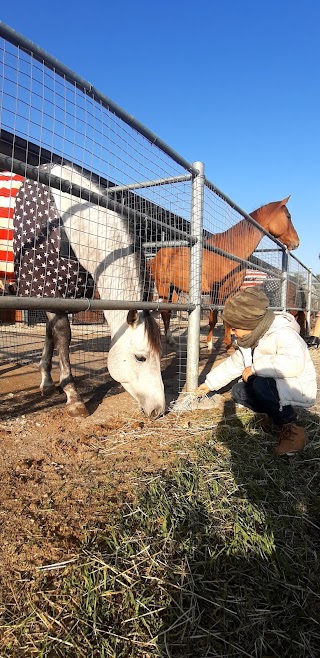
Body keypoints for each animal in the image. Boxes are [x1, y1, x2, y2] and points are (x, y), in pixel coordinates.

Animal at [13, 167, 165, 418]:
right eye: (140, 357)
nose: (158, 410)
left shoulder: (54, 295)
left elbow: (49, 334)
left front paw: (47, 384)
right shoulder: (48, 289)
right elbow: (62, 336)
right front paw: (73, 397)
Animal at [149, 195, 298, 348]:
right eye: (288, 216)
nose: (296, 242)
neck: (228, 252)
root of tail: (158, 254)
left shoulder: (232, 291)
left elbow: (229, 316)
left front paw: (228, 343)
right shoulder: (216, 291)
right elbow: (213, 319)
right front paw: (210, 344)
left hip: (175, 289)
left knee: (168, 310)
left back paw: (171, 339)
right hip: (163, 286)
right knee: (164, 311)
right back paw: (170, 339)